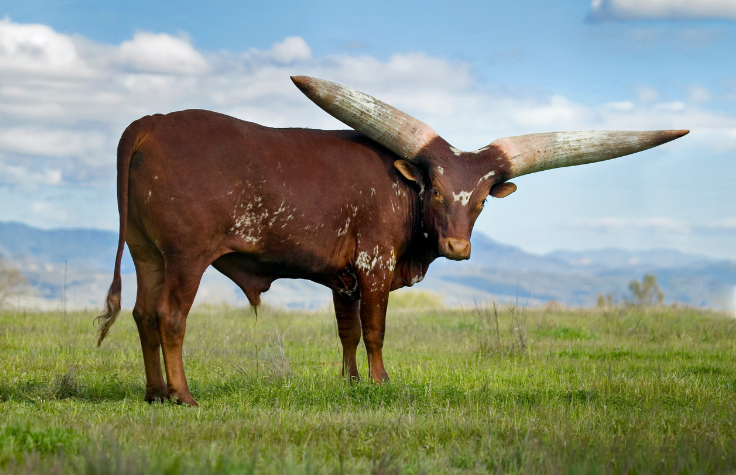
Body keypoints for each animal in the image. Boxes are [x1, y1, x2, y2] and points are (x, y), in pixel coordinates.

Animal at [95, 75, 688, 406]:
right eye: (437, 189)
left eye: (480, 200)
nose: (458, 249)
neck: (404, 194)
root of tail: (149, 124)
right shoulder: (374, 266)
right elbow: (376, 331)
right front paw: (379, 382)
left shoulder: (341, 278)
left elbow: (347, 332)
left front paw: (351, 382)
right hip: (185, 256)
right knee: (170, 317)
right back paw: (184, 396)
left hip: (148, 254)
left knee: (143, 314)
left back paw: (154, 394)